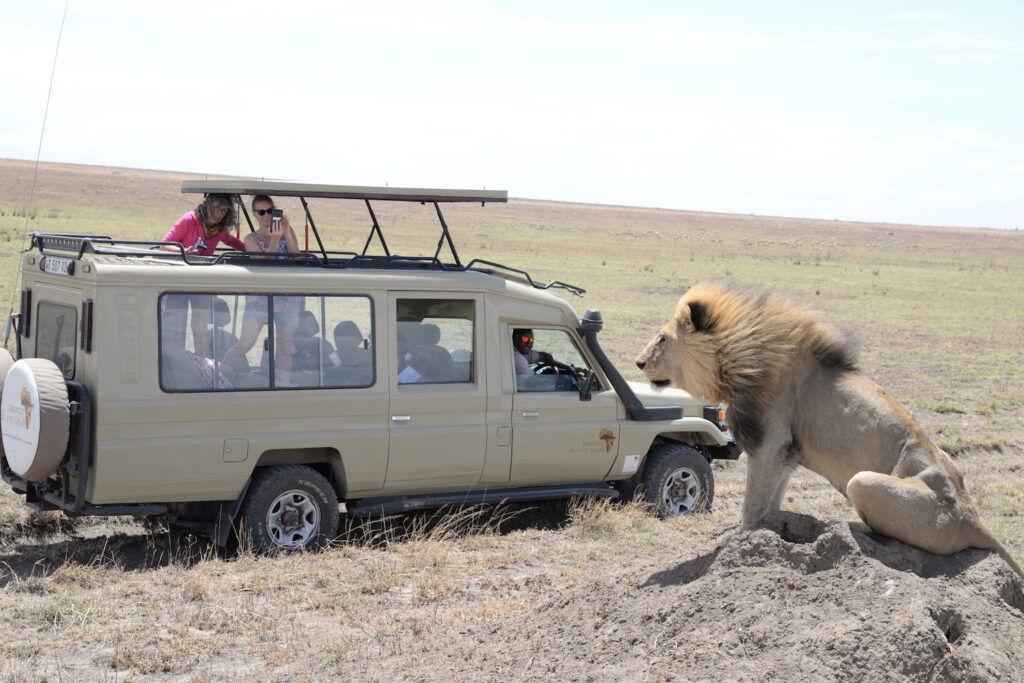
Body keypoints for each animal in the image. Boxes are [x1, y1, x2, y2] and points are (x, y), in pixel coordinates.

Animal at [636, 279, 1023, 578]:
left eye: (662, 339)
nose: (638, 362)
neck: (738, 359)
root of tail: (973, 518)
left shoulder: (769, 444)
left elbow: (753, 504)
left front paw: (738, 539)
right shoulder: (785, 452)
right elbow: (770, 501)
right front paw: (768, 527)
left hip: (862, 482)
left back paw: (848, 527)